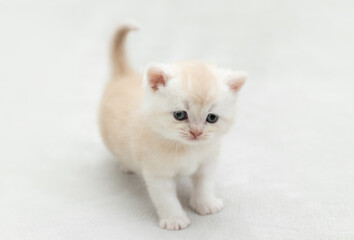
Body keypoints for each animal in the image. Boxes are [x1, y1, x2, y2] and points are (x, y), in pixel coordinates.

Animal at [98, 23, 248, 231]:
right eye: (180, 115)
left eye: (211, 118)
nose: (196, 132)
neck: (186, 148)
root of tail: (124, 75)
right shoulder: (158, 175)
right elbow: (166, 199)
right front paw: (175, 219)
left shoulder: (207, 164)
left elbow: (205, 185)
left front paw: (206, 203)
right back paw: (127, 166)